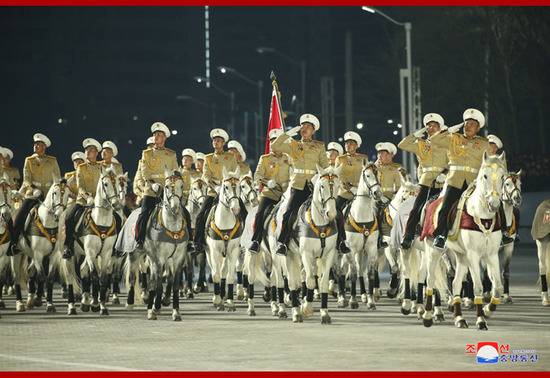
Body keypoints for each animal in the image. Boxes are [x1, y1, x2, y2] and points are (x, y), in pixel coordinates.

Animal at [11, 180, 69, 314]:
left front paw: (49, 304)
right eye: (54, 193)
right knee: (17, 277)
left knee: (30, 272)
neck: (47, 223)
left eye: (67, 194)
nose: (58, 215)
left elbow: (50, 278)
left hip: (31, 255)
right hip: (17, 254)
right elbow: (42, 276)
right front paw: (39, 300)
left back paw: (30, 300)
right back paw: (20, 303)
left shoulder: (53, 255)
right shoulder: (38, 254)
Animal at [344, 161, 384, 308]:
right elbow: (353, 273)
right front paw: (353, 301)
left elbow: (370, 273)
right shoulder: (350, 249)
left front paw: (371, 300)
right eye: (367, 175)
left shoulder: (371, 248)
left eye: (378, 174)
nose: (377, 193)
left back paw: (364, 295)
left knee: (361, 269)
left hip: (361, 251)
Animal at [422, 152, 508, 330]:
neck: (482, 215)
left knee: (455, 283)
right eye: (484, 176)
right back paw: (427, 316)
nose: (494, 204)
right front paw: (481, 320)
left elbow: (498, 287)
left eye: (503, 177)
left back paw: (459, 318)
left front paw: (488, 310)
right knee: (431, 280)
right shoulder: (473, 255)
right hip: (433, 249)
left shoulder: (491, 254)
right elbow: (478, 287)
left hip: (460, 255)